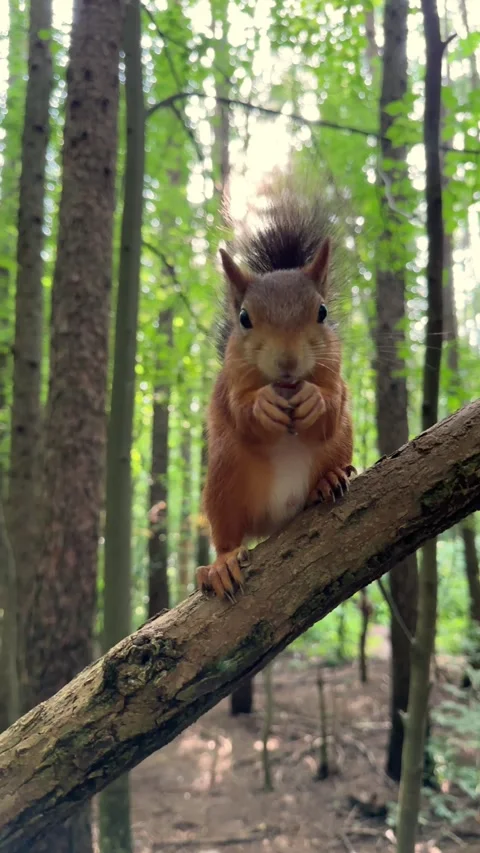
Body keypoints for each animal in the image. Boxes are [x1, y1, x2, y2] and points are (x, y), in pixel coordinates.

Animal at [197, 182, 355, 600]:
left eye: (322, 312)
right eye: (244, 319)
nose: (287, 362)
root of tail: (275, 522)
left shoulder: (337, 372)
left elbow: (333, 405)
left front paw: (314, 399)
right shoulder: (229, 384)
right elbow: (240, 411)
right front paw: (262, 406)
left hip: (340, 444)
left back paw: (327, 481)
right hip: (225, 477)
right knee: (228, 536)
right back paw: (222, 564)